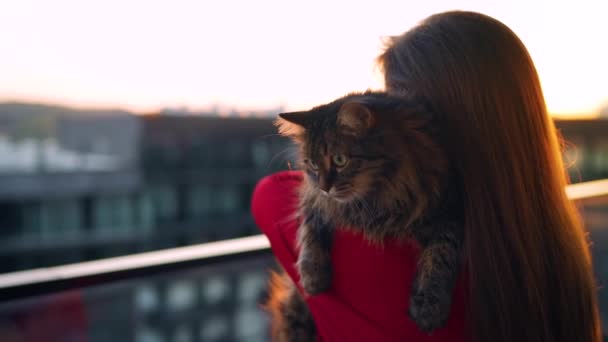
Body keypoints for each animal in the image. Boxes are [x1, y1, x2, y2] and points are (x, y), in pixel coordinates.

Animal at [268, 91, 464, 340]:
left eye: (340, 160)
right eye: (312, 164)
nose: (324, 187)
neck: (375, 199)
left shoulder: (449, 211)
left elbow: (440, 254)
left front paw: (430, 306)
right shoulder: (316, 203)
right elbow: (309, 230)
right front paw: (312, 275)